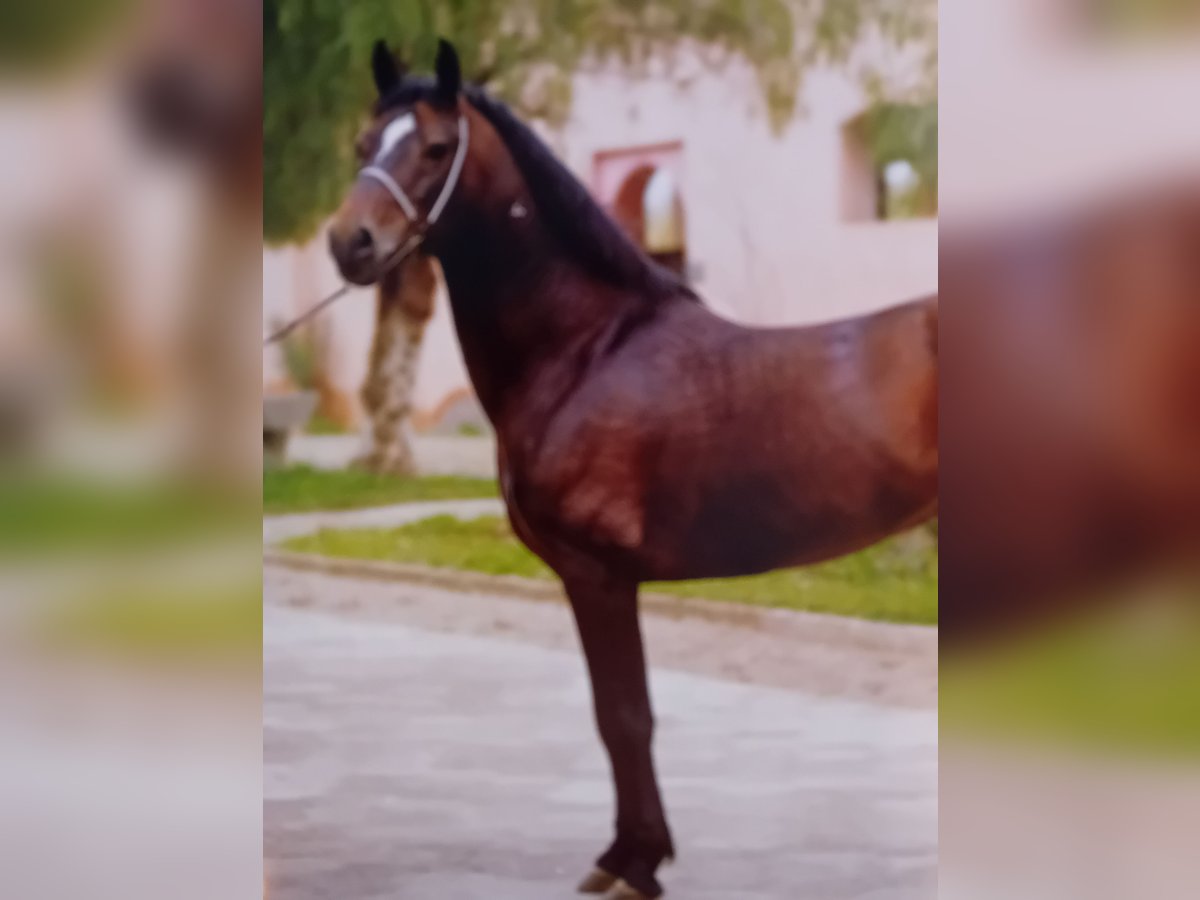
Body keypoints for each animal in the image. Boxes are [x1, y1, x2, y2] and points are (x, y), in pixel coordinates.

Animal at [328, 40, 936, 900]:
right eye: (362, 145)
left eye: (438, 147)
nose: (349, 243)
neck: (584, 349)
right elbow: (618, 715)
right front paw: (631, 854)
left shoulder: (600, 574)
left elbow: (623, 718)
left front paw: (632, 862)